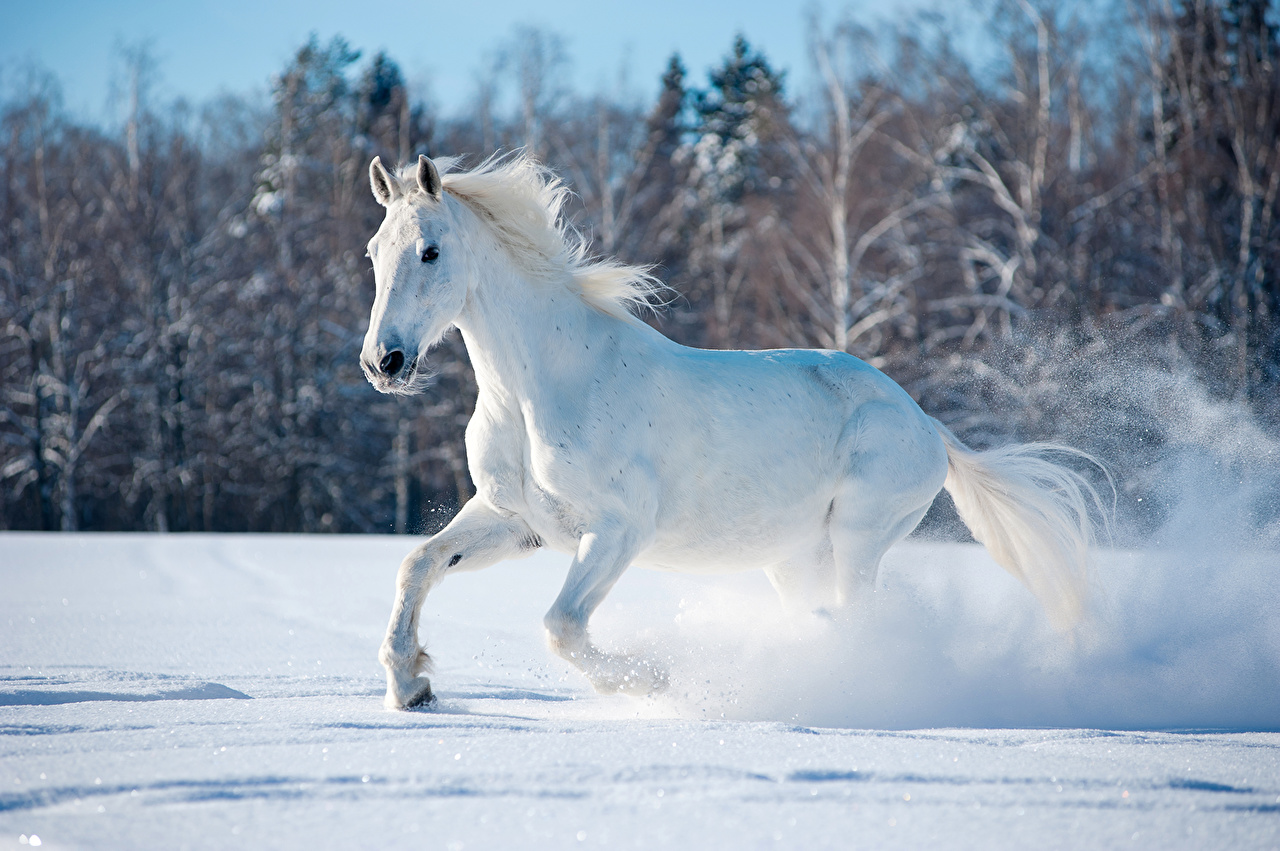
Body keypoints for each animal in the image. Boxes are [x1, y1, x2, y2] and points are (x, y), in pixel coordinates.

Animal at [358, 152, 1100, 711]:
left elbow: (561, 627)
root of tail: (926, 424)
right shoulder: (516, 521)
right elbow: (417, 564)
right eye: (372, 252)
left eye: (429, 251)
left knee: (857, 619)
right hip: (793, 557)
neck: (540, 388)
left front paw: (652, 680)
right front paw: (412, 686)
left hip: (859, 537)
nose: (383, 362)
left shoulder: (619, 528)